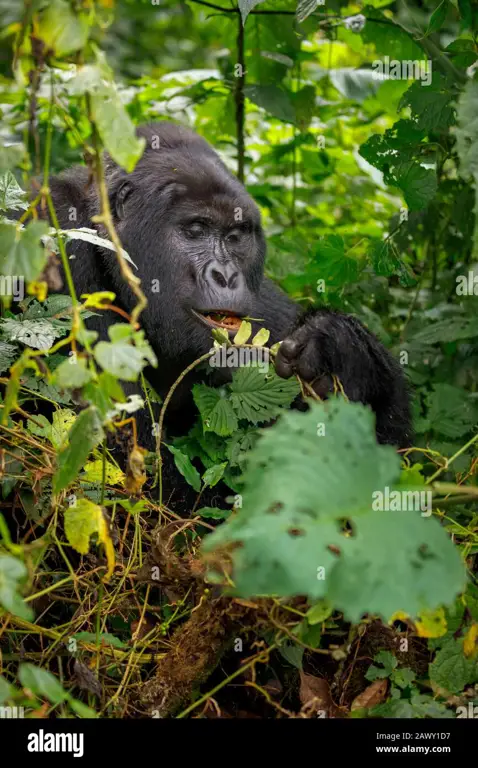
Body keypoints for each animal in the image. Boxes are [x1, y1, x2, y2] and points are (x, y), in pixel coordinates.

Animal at [40, 122, 410, 498]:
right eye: (195, 230)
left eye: (235, 236)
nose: (227, 275)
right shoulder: (59, 234)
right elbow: (146, 482)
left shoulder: (263, 307)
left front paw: (339, 349)